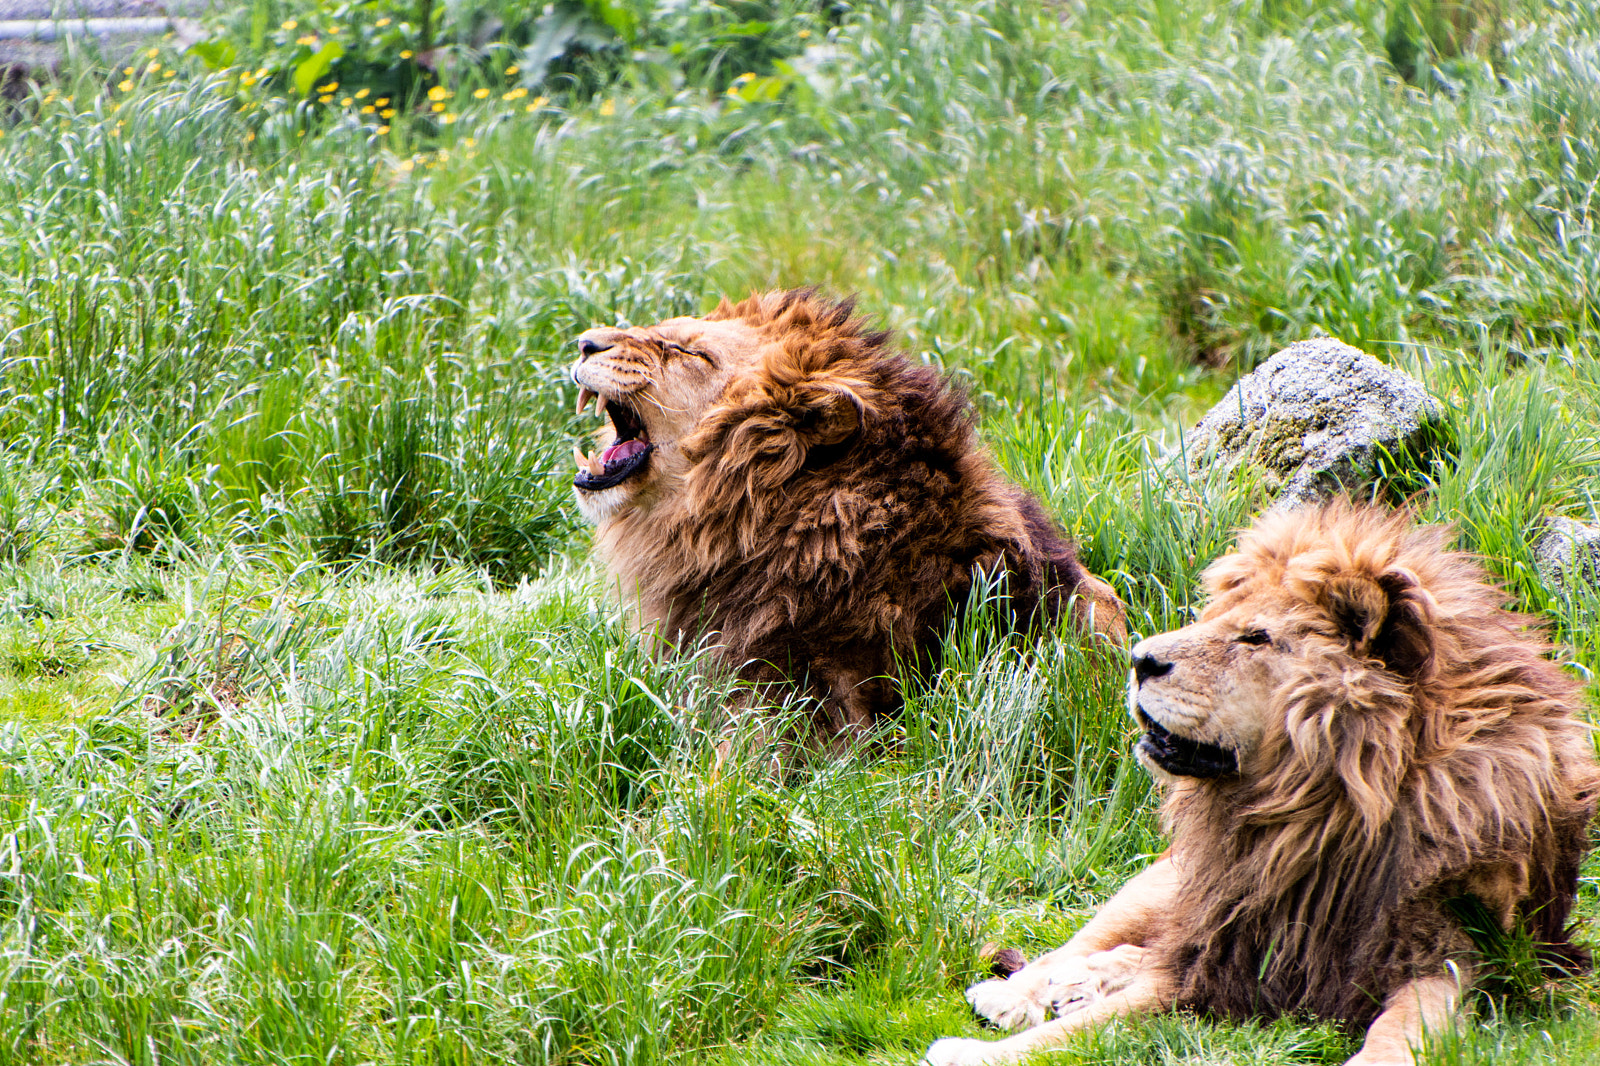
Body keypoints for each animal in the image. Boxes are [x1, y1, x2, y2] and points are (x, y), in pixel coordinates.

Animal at [926, 501, 1599, 1066]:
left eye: (1255, 637)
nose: (1139, 659)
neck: (1325, 815)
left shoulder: (1456, 954)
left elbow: (1405, 1027)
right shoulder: (1216, 951)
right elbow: (1088, 1026)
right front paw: (974, 1053)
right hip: (1162, 886)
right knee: (1074, 947)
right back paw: (1014, 995)